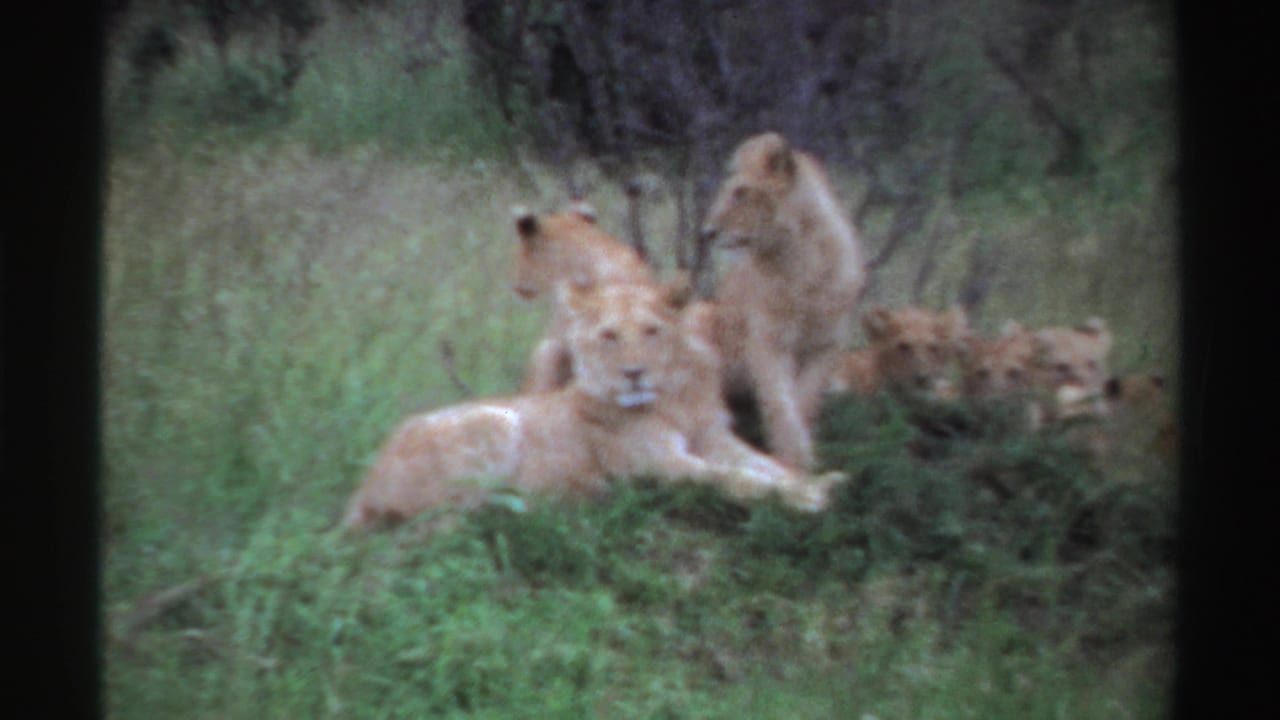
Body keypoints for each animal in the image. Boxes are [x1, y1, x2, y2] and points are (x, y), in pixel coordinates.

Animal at [343, 280, 843, 530]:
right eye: (609, 336)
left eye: (651, 331)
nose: (633, 373)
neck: (676, 396)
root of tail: (363, 487)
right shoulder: (657, 464)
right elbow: (735, 480)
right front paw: (808, 498)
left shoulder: (714, 437)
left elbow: (769, 466)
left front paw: (819, 482)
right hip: (492, 421)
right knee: (453, 515)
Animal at [701, 132, 867, 470]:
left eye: (741, 192)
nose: (706, 232)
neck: (798, 262)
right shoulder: (767, 340)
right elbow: (780, 402)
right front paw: (792, 459)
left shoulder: (826, 345)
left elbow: (804, 400)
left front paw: (802, 457)